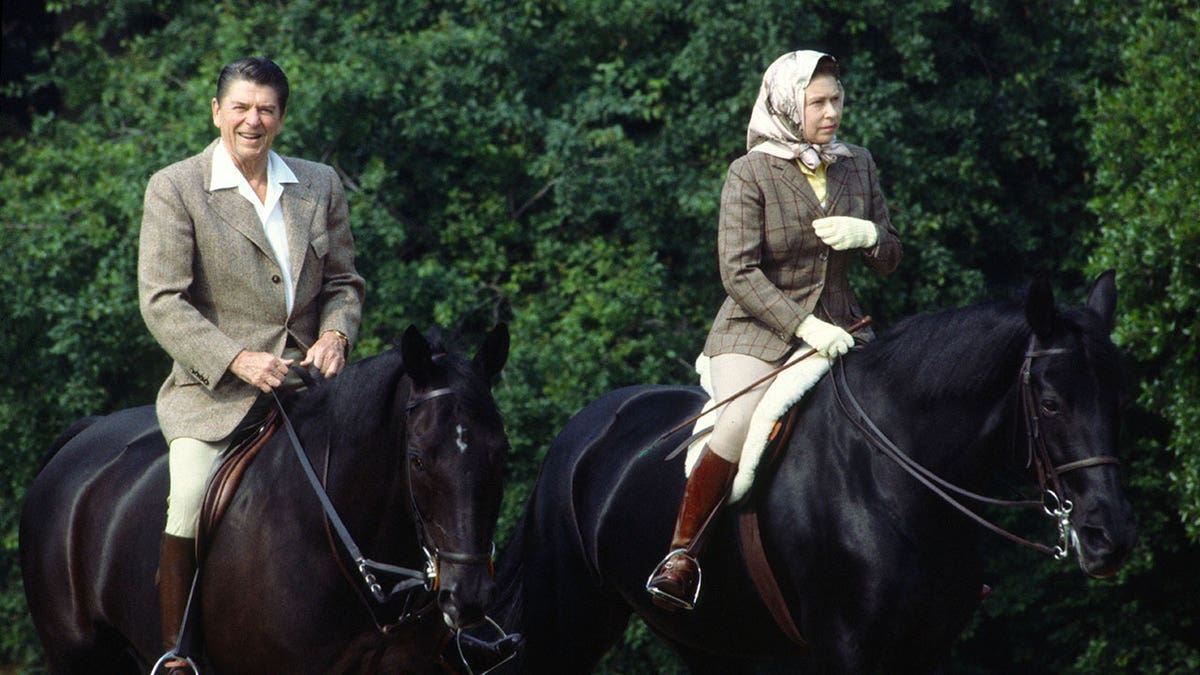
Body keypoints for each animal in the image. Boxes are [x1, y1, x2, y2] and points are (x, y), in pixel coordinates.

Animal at [492, 270, 1137, 667]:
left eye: (1119, 398)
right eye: (1050, 403)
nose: (1109, 537)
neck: (892, 479)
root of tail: (586, 429)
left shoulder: (925, 650)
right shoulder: (845, 647)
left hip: (712, 642)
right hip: (568, 621)